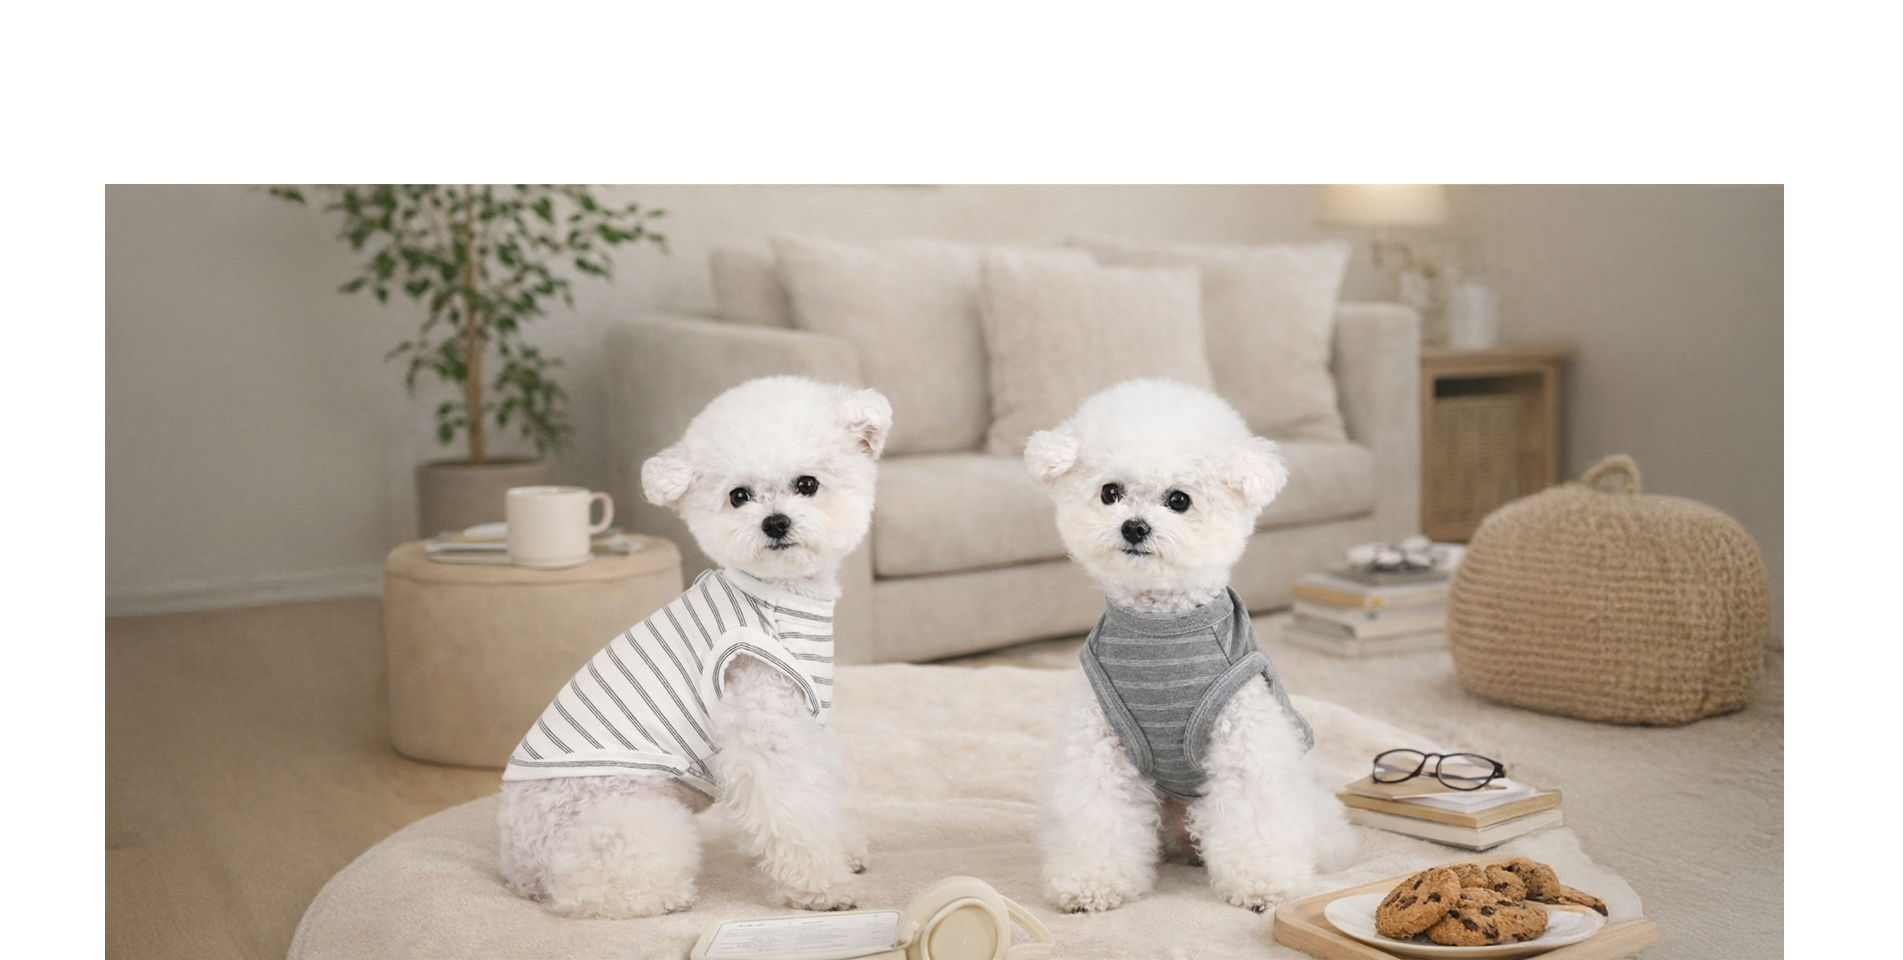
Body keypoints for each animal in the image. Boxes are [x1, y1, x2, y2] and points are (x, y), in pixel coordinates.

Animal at [496, 375, 891, 918]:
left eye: (807, 484)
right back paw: (662, 897)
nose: (775, 523)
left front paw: (844, 853)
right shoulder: (764, 728)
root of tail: (514, 864)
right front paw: (822, 887)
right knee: (583, 887)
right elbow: (793, 810)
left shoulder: (805, 724)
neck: (781, 596)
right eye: (738, 496)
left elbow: (821, 795)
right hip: (627, 815)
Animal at [1025, 378, 1356, 914]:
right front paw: (1091, 885)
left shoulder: (1245, 738)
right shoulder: (1099, 744)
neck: (1162, 622)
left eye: (1178, 500)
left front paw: (1261, 886)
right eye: (1110, 493)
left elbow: (1253, 813)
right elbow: (1099, 813)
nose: (1134, 527)